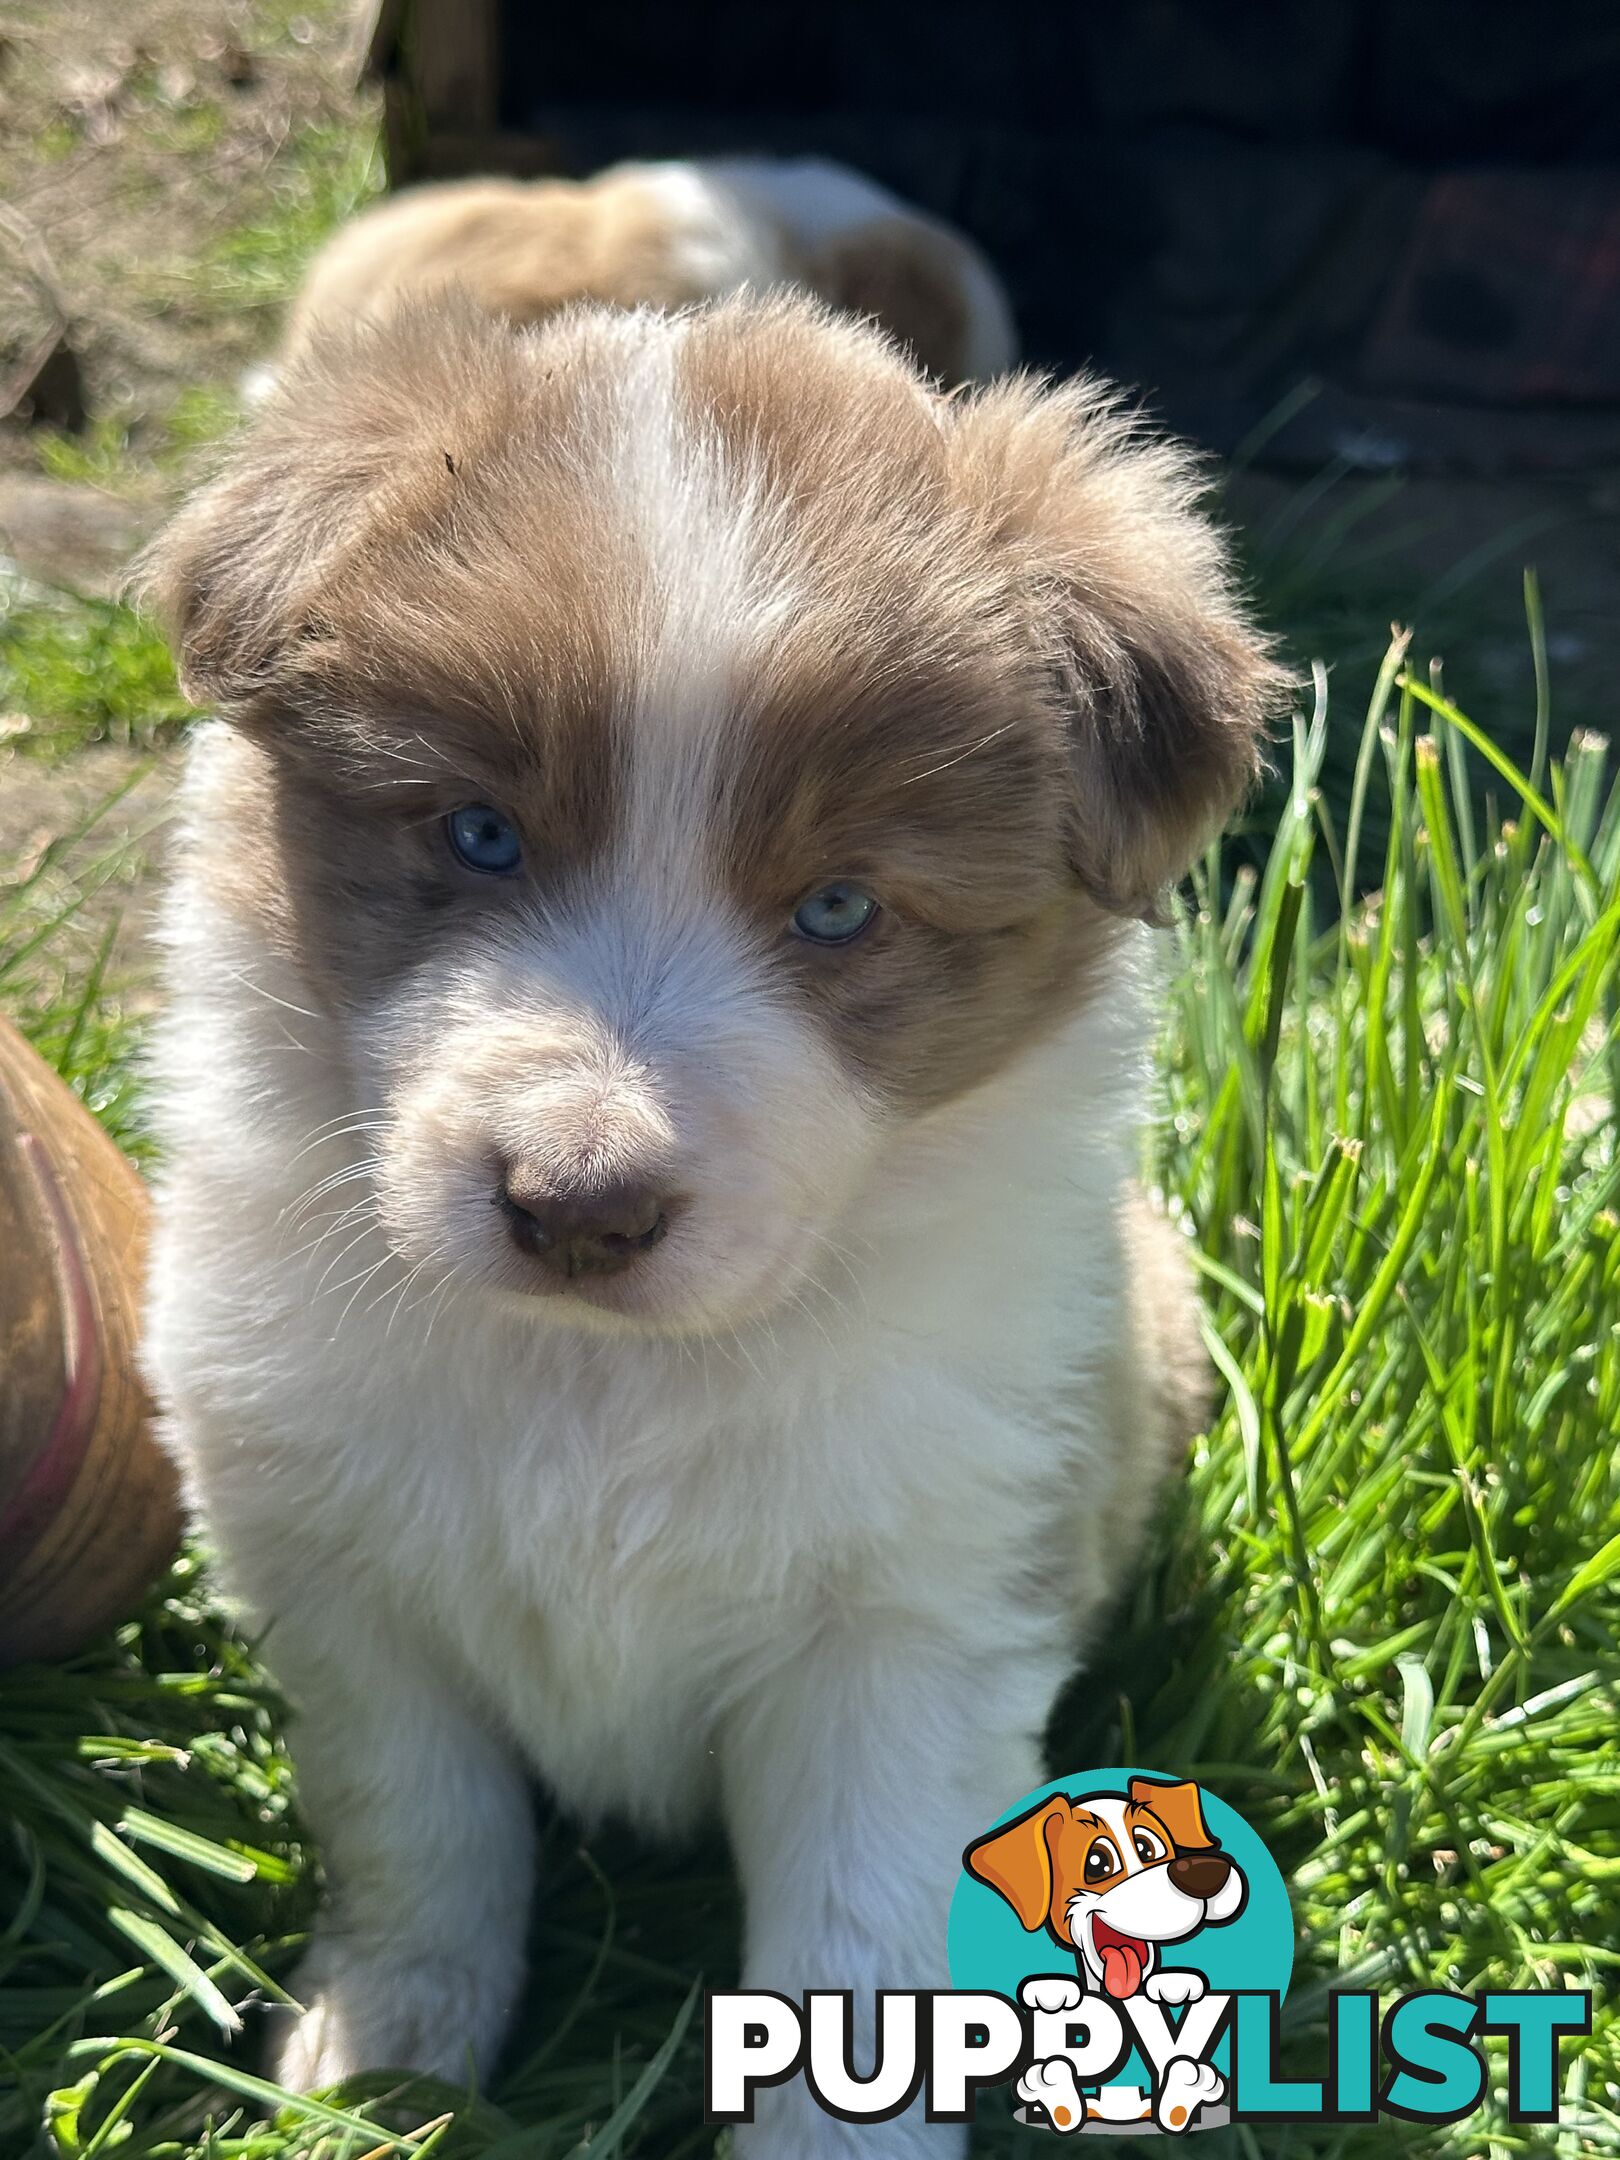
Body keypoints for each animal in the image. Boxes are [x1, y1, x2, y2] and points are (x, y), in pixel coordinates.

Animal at [136, 291, 1278, 2160]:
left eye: (839, 908)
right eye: (479, 832)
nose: (578, 1207)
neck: (601, 1380)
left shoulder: (909, 1630)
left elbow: (856, 1949)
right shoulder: (343, 1585)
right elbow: (422, 1835)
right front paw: (384, 2076)